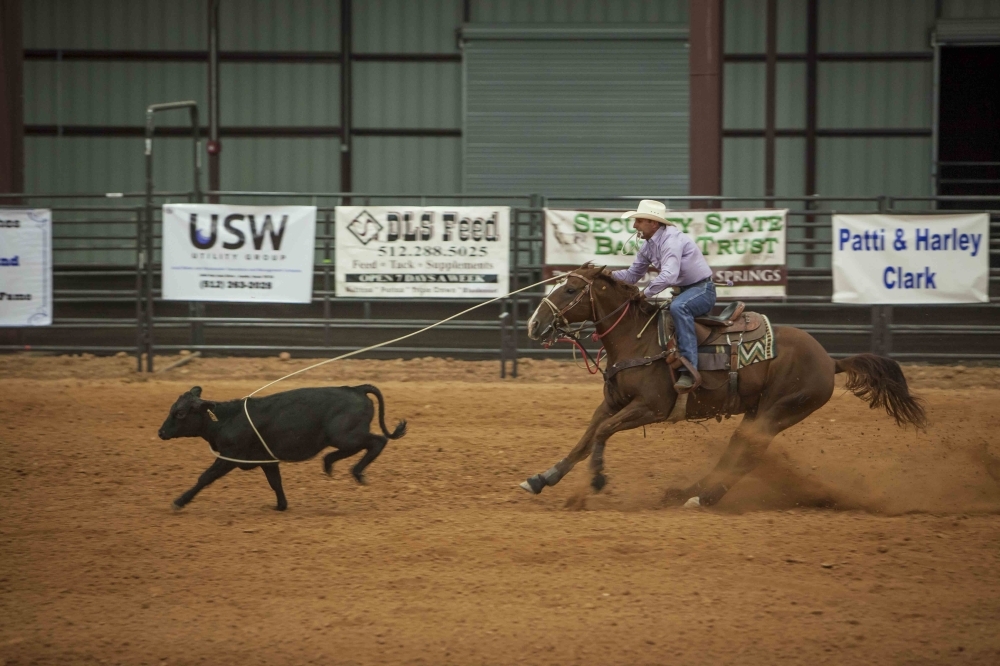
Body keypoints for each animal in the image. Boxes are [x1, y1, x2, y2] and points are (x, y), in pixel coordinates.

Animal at [157, 384, 406, 508]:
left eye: (180, 413)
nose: (160, 432)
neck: (226, 420)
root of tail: (355, 388)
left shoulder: (229, 456)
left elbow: (205, 477)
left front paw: (179, 501)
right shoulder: (266, 460)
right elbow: (275, 482)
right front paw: (281, 505)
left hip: (345, 435)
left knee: (377, 441)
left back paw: (355, 471)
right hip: (343, 437)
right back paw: (329, 463)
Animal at [520, 264, 924, 504]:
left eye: (570, 290)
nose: (534, 325)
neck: (637, 339)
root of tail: (830, 361)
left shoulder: (650, 408)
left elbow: (602, 433)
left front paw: (599, 479)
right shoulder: (613, 403)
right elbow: (586, 438)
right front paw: (542, 478)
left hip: (779, 411)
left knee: (748, 454)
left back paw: (705, 497)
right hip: (757, 412)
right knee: (737, 450)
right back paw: (688, 493)